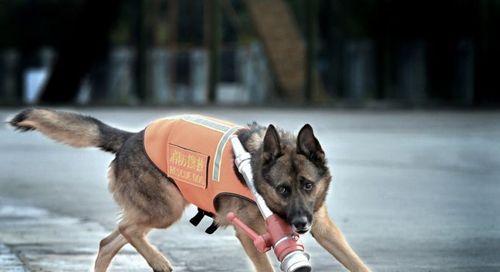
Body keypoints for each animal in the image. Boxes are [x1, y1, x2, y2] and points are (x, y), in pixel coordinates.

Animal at [8, 109, 372, 272]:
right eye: (283, 189)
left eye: (307, 185)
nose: (300, 225)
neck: (258, 175)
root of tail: (129, 137)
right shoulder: (250, 238)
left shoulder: (325, 228)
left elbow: (356, 263)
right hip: (166, 208)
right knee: (125, 229)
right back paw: (159, 261)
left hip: (155, 210)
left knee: (108, 241)